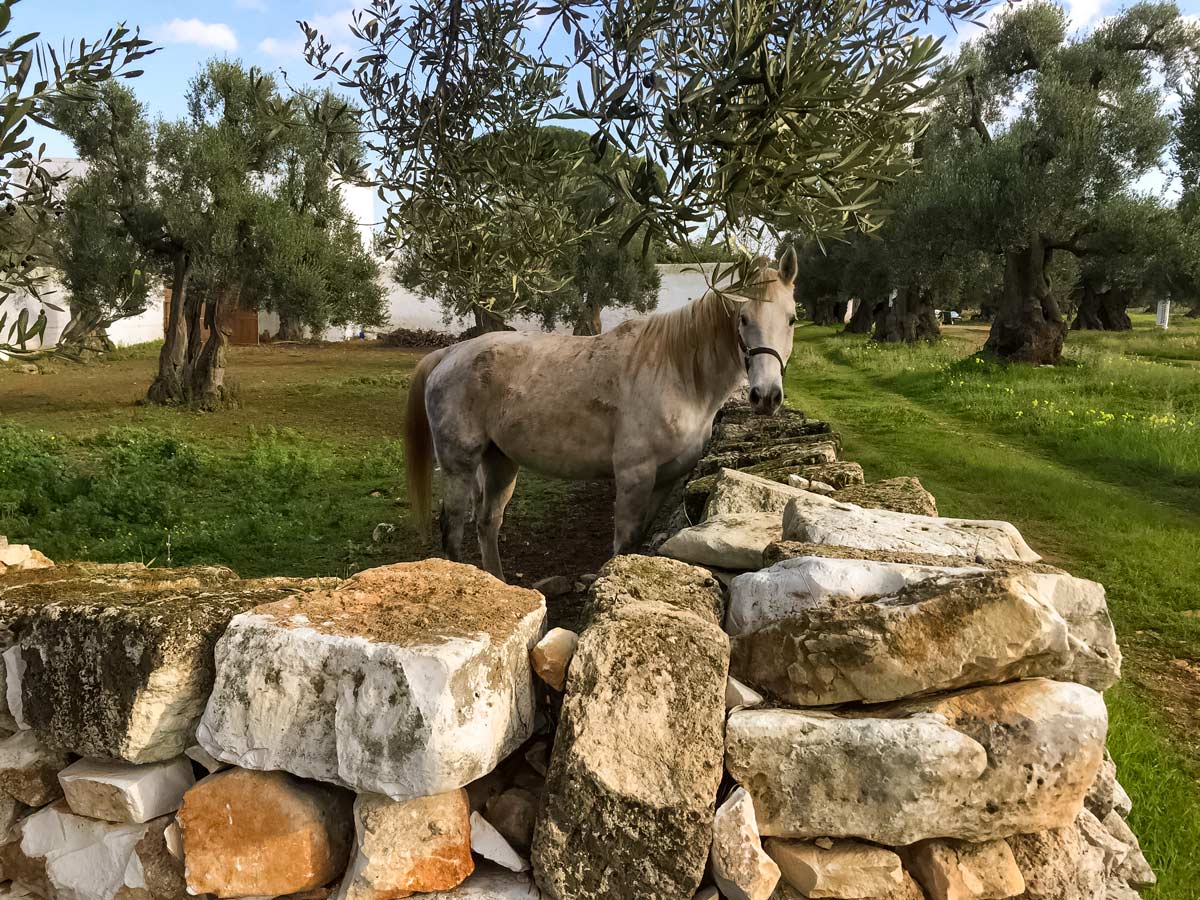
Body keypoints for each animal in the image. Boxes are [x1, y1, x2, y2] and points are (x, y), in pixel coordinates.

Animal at [403, 250, 796, 580]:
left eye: (792, 319)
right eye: (743, 318)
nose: (766, 396)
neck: (676, 373)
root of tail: (450, 353)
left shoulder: (665, 480)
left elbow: (638, 542)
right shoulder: (634, 476)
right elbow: (624, 542)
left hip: (500, 461)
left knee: (488, 523)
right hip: (460, 466)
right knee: (454, 532)